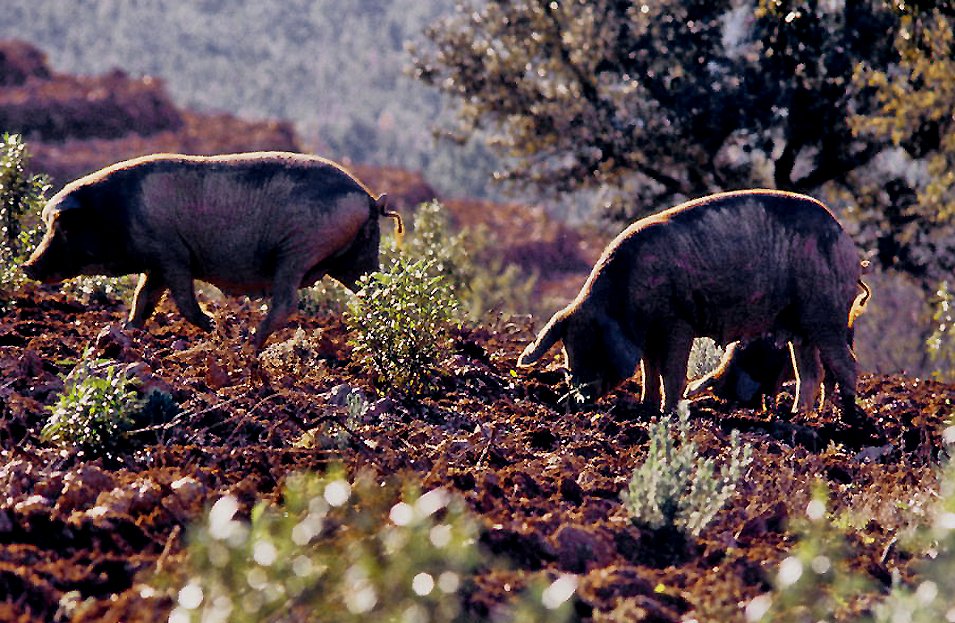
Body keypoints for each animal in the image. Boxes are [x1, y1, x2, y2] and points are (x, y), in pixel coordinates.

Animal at [22, 151, 401, 349]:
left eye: (63, 226)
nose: (28, 266)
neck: (116, 212)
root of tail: (369, 199)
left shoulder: (172, 255)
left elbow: (183, 303)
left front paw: (216, 327)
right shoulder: (157, 264)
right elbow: (143, 301)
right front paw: (126, 334)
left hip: (297, 251)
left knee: (286, 303)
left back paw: (247, 342)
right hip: (358, 258)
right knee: (377, 293)